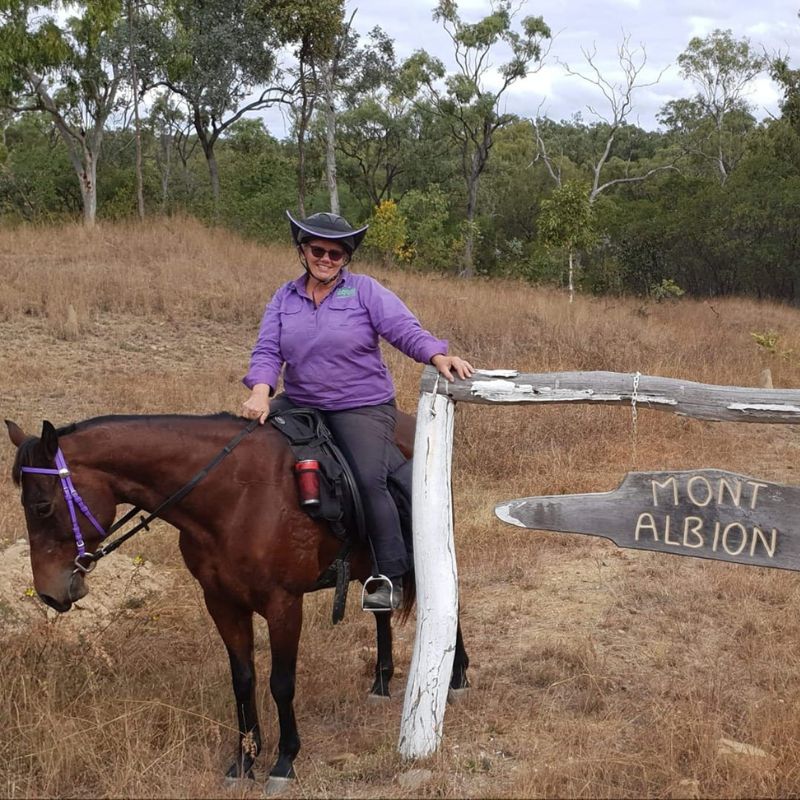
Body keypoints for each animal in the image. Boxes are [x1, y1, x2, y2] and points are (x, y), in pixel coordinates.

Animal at [4, 416, 468, 792]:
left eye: (42, 506)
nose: (49, 592)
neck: (234, 497)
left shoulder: (284, 605)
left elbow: (281, 683)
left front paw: (284, 761)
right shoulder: (222, 603)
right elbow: (243, 680)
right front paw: (244, 761)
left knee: (447, 601)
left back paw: (456, 675)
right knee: (383, 611)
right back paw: (381, 681)